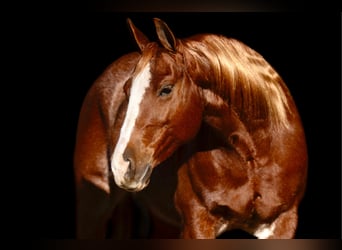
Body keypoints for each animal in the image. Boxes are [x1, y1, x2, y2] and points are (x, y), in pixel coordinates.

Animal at [73, 17, 308, 238]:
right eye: (127, 89)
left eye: (166, 89)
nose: (121, 165)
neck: (253, 158)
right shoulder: (197, 224)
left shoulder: (283, 223)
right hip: (91, 211)